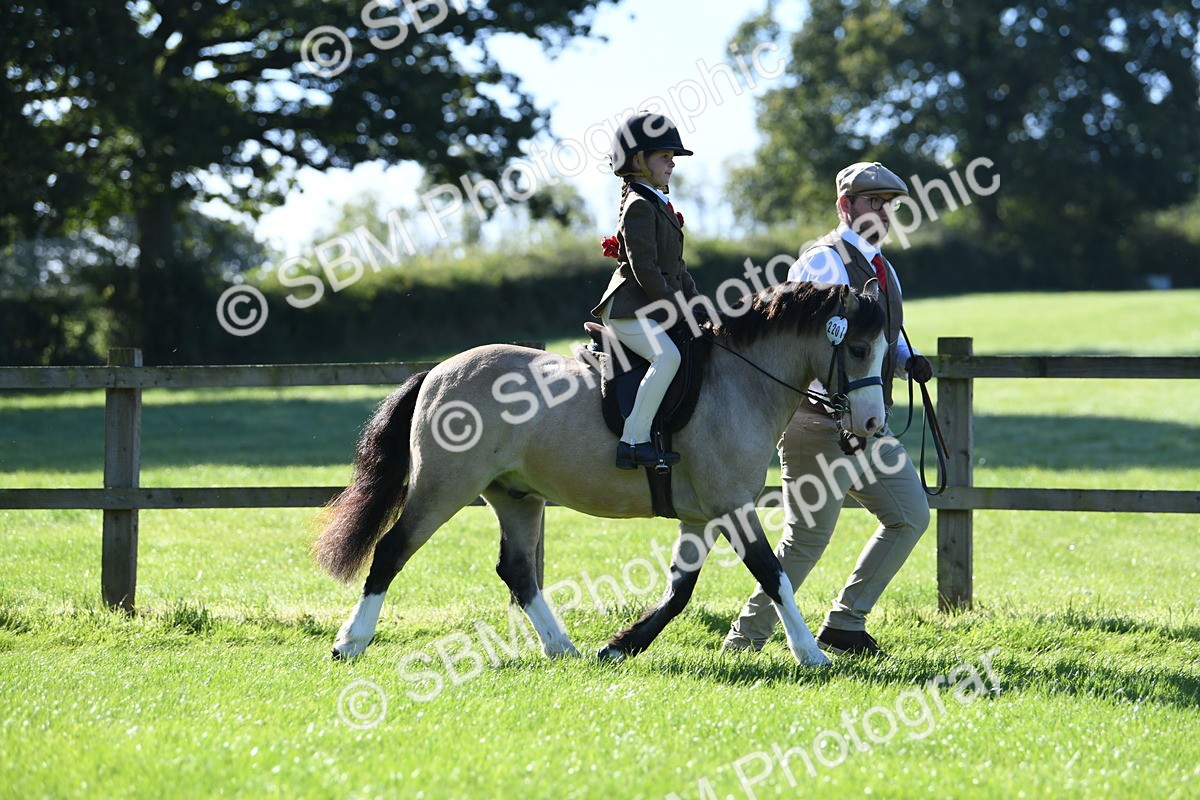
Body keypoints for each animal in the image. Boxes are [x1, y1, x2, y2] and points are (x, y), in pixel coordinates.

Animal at [314, 281, 888, 667]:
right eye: (859, 349)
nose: (871, 424)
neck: (740, 380)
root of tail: (437, 371)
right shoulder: (732, 506)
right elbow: (772, 574)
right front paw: (812, 653)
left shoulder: (702, 516)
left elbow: (680, 590)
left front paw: (620, 646)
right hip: (444, 488)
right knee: (392, 550)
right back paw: (350, 642)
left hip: (516, 496)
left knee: (517, 570)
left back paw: (561, 647)